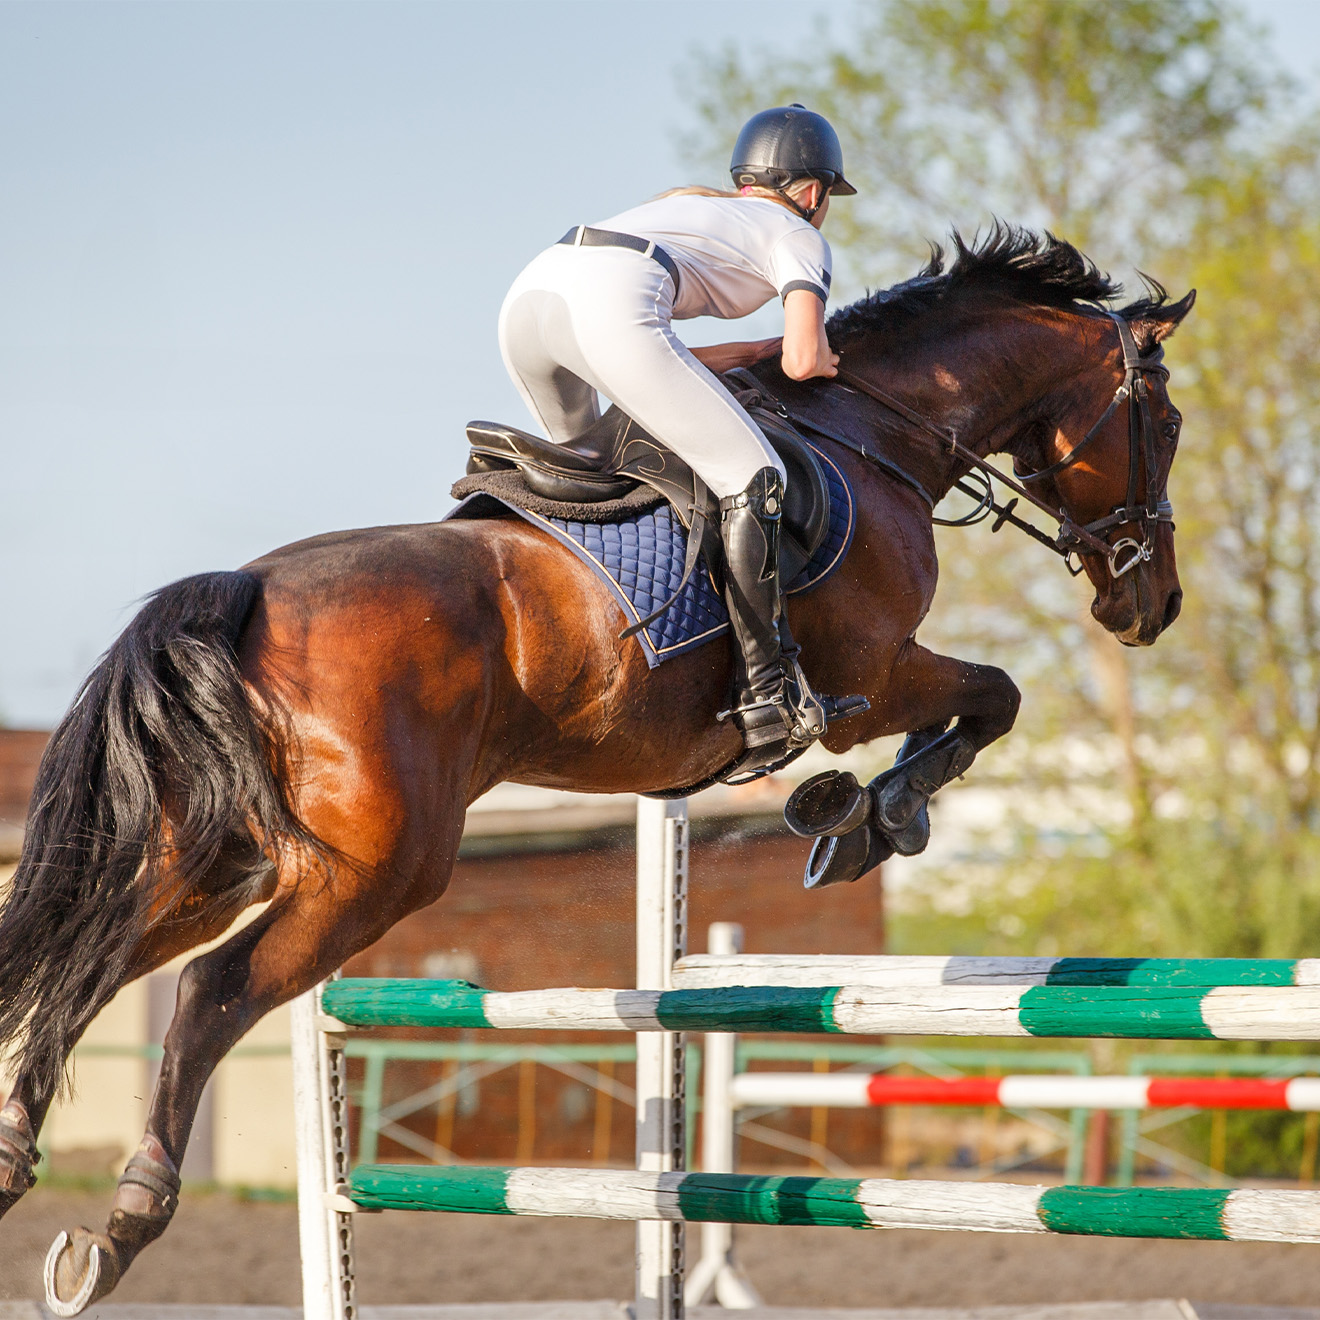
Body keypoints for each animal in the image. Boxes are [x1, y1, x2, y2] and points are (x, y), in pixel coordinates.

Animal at [0, 227, 1193, 1309]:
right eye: (1168, 422)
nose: (1152, 607)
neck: (877, 432)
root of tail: (247, 594)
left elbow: (978, 706)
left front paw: (857, 817)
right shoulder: (876, 671)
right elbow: (992, 696)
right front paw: (870, 816)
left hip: (216, 858)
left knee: (97, 963)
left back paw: (15, 1157)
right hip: (374, 871)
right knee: (211, 988)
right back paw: (122, 1223)